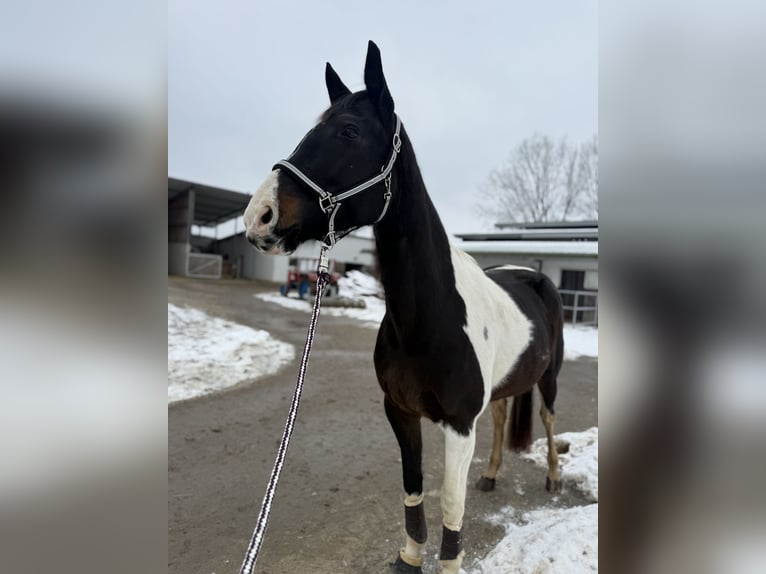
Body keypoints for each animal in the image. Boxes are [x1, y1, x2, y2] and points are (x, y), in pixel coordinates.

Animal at [243, 41, 564, 574]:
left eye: (349, 131)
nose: (259, 217)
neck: (428, 319)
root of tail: (533, 275)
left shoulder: (459, 426)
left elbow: (451, 503)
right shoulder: (399, 411)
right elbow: (413, 487)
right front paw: (410, 555)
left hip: (550, 378)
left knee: (548, 417)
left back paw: (555, 479)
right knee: (502, 419)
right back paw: (492, 475)